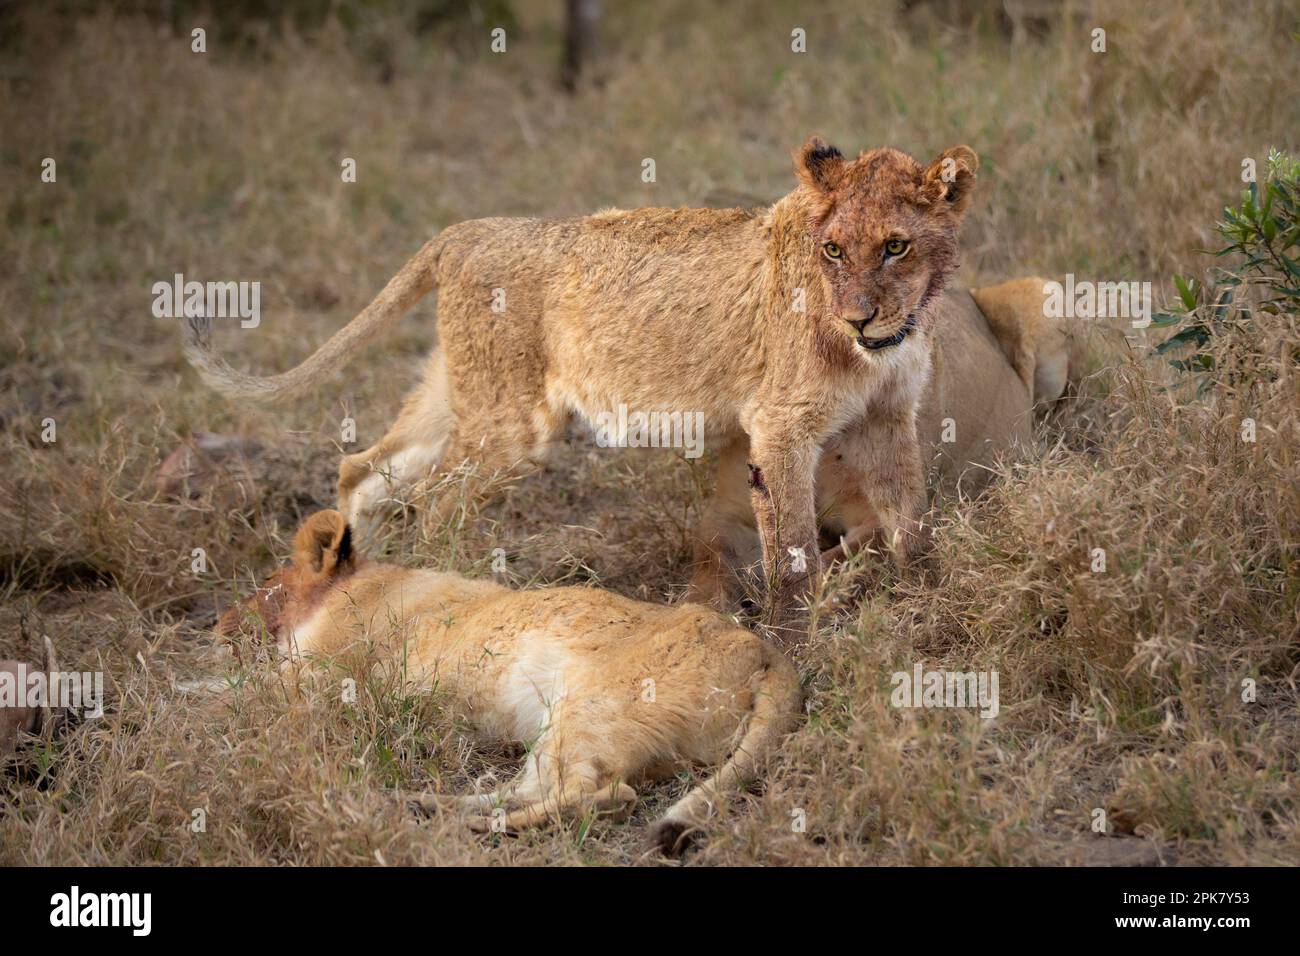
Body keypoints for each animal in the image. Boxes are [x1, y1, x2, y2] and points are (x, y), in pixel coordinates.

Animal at [180, 140, 977, 621]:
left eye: (896, 247)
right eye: (834, 250)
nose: (858, 319)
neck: (884, 346)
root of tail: (466, 231)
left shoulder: (886, 420)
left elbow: (913, 520)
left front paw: (929, 602)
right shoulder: (780, 427)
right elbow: (792, 547)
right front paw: (800, 629)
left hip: (462, 393)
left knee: (363, 468)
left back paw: (358, 579)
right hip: (514, 427)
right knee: (436, 501)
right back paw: (449, 587)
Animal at [213, 509, 800, 853]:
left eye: (267, 581)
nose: (215, 623)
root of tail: (764, 651)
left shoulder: (315, 678)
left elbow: (231, 698)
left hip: (591, 709)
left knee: (607, 793)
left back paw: (474, 828)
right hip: (571, 730)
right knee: (532, 787)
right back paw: (427, 807)